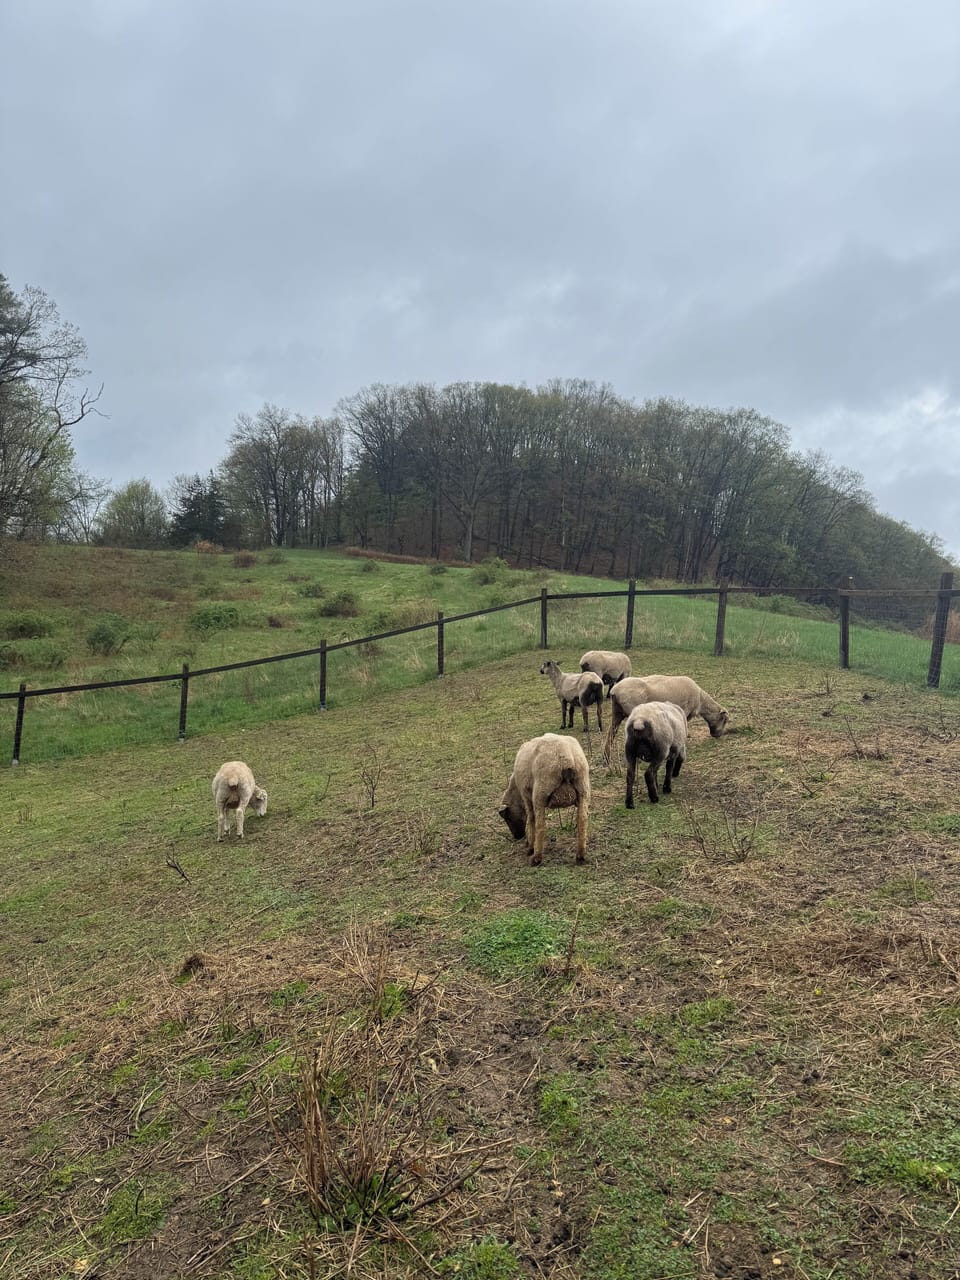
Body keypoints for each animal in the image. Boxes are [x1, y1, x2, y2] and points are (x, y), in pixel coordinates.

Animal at [498, 732, 590, 865]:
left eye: (508, 818)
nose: (517, 837)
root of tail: (567, 758)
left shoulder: (526, 797)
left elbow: (531, 819)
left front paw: (530, 846)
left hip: (540, 792)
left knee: (540, 825)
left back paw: (536, 857)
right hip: (583, 788)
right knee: (582, 821)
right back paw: (580, 856)